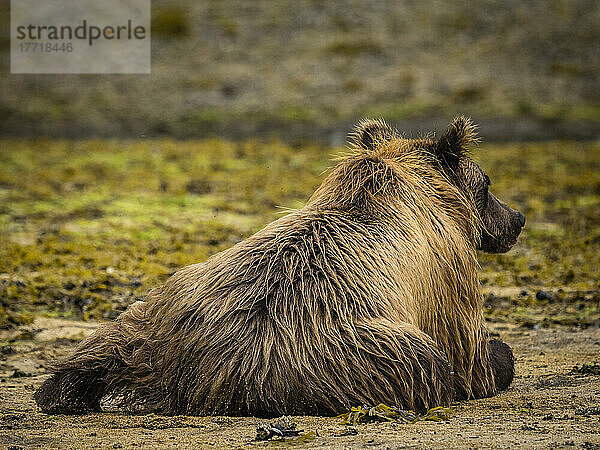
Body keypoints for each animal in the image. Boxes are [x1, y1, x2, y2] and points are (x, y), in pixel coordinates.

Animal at [36, 118, 524, 416]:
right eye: (488, 183)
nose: (517, 219)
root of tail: (197, 373)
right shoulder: (446, 273)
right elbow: (466, 352)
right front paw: (500, 353)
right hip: (346, 345)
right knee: (425, 360)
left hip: (164, 304)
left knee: (107, 341)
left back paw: (60, 392)